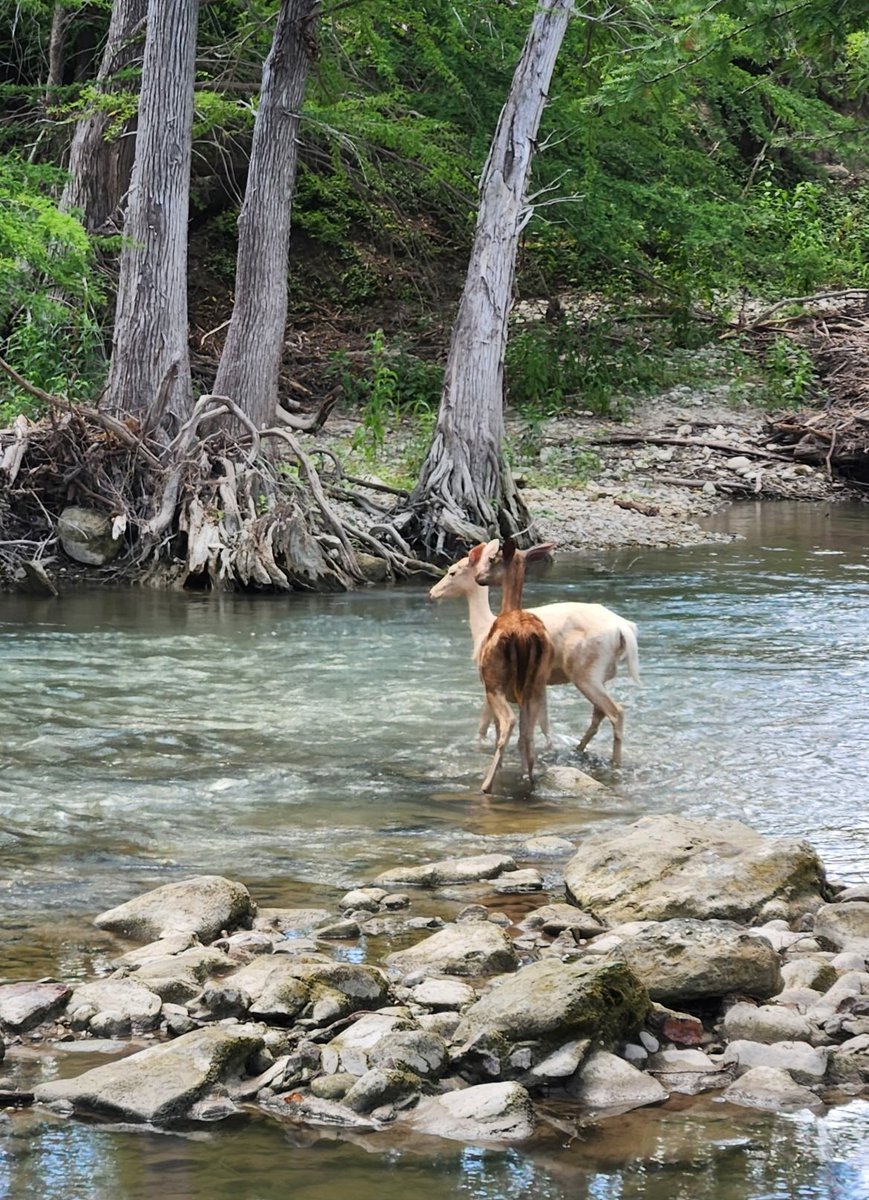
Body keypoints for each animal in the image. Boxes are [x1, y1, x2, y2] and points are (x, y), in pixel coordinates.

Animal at [429, 542, 640, 767]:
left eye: (452, 572)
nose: (432, 593)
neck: (482, 629)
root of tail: (624, 629)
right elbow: (544, 724)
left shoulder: (489, 680)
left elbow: (484, 725)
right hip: (602, 674)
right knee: (598, 714)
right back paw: (579, 750)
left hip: (586, 671)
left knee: (615, 712)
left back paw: (614, 762)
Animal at [474, 538, 555, 793]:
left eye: (492, 558)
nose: (478, 577)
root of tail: (523, 635)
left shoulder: (487, 689)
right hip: (537, 685)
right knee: (527, 734)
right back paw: (529, 780)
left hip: (494, 681)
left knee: (508, 723)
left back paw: (487, 785)